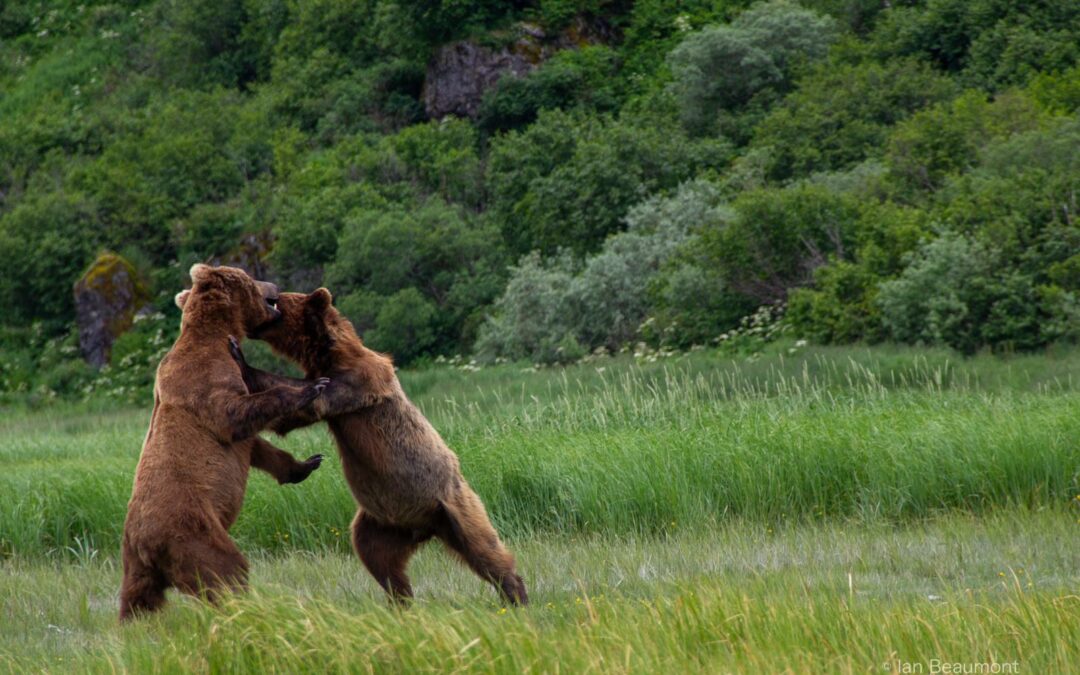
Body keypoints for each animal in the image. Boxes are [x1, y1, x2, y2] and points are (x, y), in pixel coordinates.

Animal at [118, 264, 330, 621]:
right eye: (252, 277)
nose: (274, 286)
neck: (216, 334)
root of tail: (144, 545)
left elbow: (256, 445)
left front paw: (305, 464)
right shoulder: (204, 379)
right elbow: (233, 415)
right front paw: (312, 387)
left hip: (134, 565)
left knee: (137, 601)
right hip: (192, 532)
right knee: (226, 570)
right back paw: (243, 608)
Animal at [228, 288, 528, 605]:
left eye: (277, 301)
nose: (252, 320)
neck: (330, 355)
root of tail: (424, 527)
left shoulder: (357, 383)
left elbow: (312, 401)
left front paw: (239, 356)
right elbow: (290, 416)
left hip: (454, 505)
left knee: (484, 548)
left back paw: (516, 592)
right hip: (383, 525)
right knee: (376, 556)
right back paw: (401, 598)